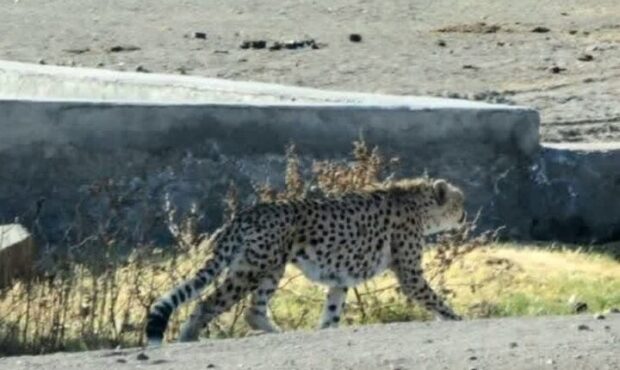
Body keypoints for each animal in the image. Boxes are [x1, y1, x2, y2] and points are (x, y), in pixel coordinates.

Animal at [145, 178, 464, 346]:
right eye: (459, 203)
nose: (465, 216)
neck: (420, 205)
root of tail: (247, 212)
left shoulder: (340, 277)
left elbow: (332, 311)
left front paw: (325, 330)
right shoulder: (410, 274)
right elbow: (433, 298)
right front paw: (457, 319)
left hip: (271, 267)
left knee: (253, 310)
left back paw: (277, 332)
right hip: (252, 268)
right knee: (207, 303)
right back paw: (188, 338)